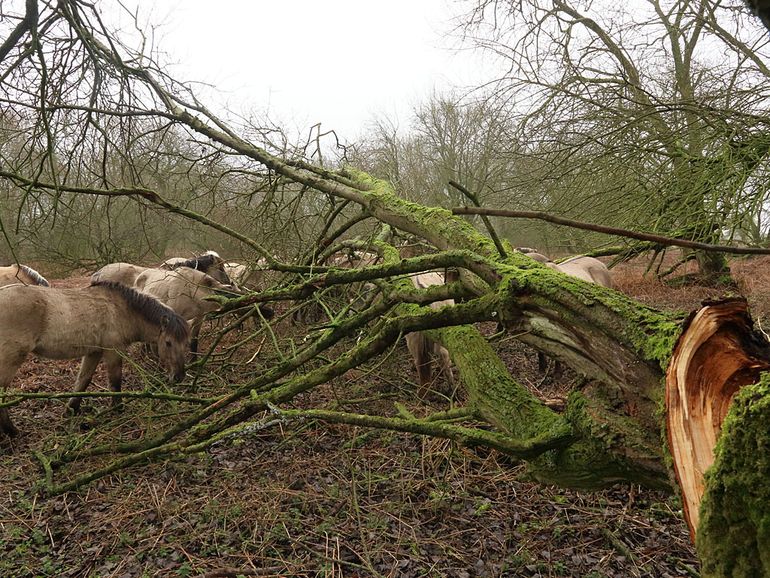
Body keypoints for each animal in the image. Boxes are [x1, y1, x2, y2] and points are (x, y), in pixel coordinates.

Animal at [0, 278, 190, 432]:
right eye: (168, 343)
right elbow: (115, 380)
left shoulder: (94, 352)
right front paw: (118, 408)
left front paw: (71, 410)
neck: (122, 310)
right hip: (11, 358)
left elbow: (83, 380)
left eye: (186, 343)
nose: (179, 376)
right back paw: (12, 431)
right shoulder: (113, 350)